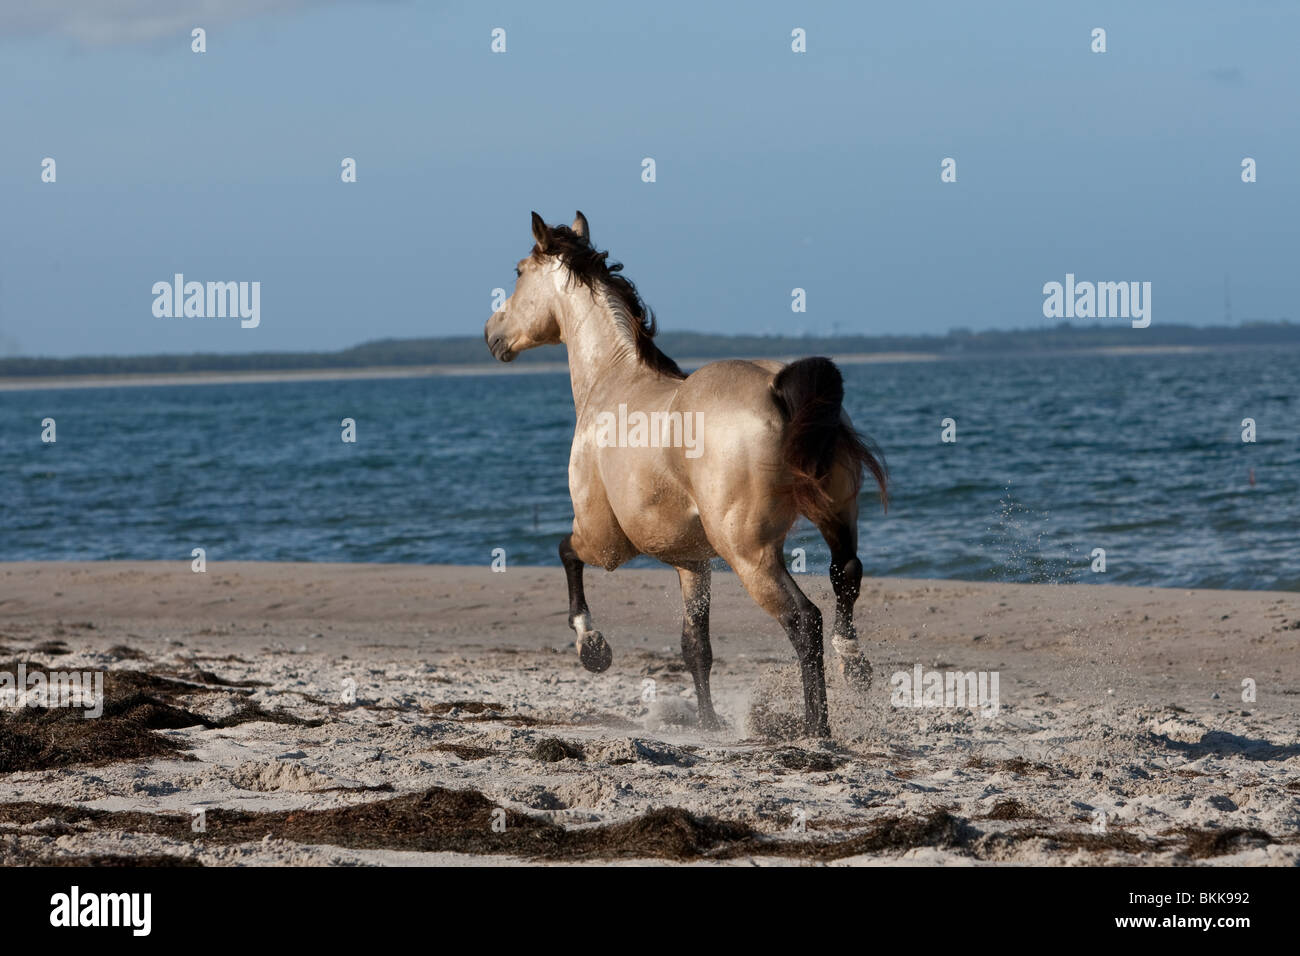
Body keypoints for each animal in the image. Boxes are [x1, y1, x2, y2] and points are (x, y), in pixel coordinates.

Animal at [483, 213, 889, 738]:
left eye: (517, 272)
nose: (491, 333)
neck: (611, 381)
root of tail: (781, 391)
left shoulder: (606, 542)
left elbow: (565, 553)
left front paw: (592, 647)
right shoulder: (693, 562)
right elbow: (696, 647)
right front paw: (709, 724)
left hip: (750, 554)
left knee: (804, 621)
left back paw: (816, 728)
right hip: (837, 518)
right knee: (847, 576)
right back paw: (854, 668)